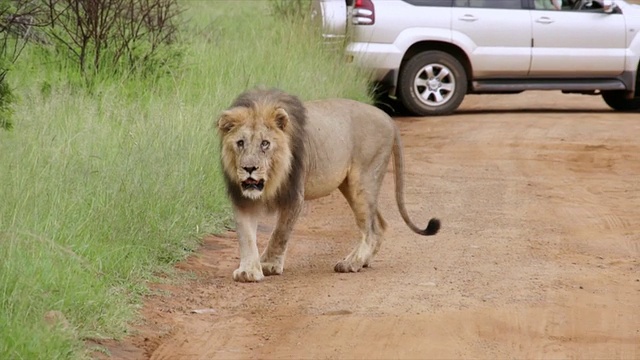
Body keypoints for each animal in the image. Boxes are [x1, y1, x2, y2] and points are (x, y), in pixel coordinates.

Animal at [216, 86, 440, 282]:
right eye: (240, 143)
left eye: (265, 144)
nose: (249, 168)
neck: (272, 178)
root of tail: (388, 119)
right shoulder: (242, 198)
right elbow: (246, 236)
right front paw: (248, 271)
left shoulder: (295, 197)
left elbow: (280, 234)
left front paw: (269, 265)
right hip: (352, 186)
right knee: (380, 224)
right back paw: (363, 261)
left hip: (364, 180)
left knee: (370, 229)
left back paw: (352, 263)